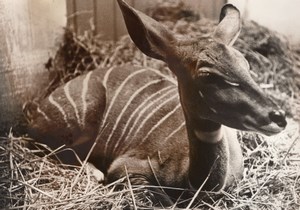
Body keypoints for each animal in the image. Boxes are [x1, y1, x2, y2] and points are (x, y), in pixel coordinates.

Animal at [22, 0, 286, 207]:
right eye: (207, 75)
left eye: (246, 64)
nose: (278, 116)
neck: (190, 179)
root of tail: (36, 112)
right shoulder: (125, 167)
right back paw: (94, 172)